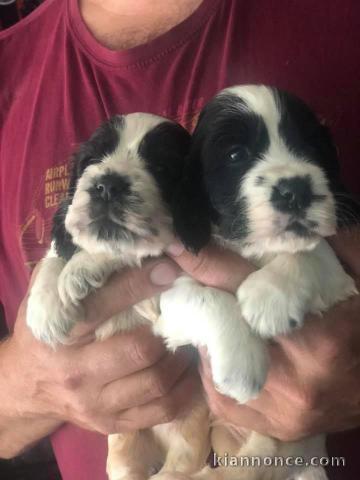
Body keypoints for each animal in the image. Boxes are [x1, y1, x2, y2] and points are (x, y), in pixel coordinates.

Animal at [26, 111, 268, 480]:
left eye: (161, 168)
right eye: (91, 161)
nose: (108, 184)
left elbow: (129, 251)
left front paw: (84, 266)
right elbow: (55, 252)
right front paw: (45, 308)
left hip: (188, 442)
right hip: (124, 454)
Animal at [168, 85, 358, 480]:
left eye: (310, 145)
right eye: (235, 154)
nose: (296, 190)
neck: (254, 250)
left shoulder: (340, 276)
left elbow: (309, 252)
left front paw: (268, 298)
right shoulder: (169, 297)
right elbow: (205, 298)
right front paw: (241, 366)